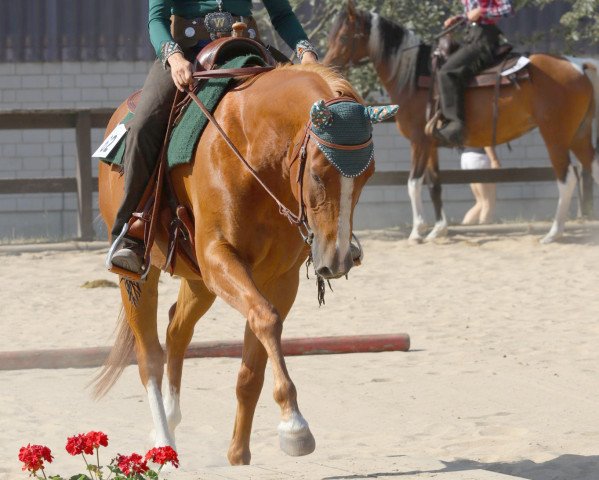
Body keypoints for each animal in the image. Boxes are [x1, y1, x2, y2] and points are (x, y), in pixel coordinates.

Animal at [94, 63, 384, 464]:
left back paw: (170, 418)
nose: (337, 259)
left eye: (367, 176)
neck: (254, 151)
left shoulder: (278, 279)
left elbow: (255, 358)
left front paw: (239, 453)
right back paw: (163, 439)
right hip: (138, 277)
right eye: (316, 173)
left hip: (199, 280)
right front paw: (295, 426)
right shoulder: (220, 257)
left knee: (177, 330)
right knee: (149, 354)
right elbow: (265, 320)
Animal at [326, 0, 599, 244]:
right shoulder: (431, 144)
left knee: (566, 179)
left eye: (343, 37)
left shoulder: (419, 141)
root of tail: (578, 66)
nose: (328, 66)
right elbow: (435, 183)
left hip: (555, 135)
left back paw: (554, 233)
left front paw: (417, 231)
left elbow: (413, 183)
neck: (413, 77)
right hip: (579, 134)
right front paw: (438, 230)